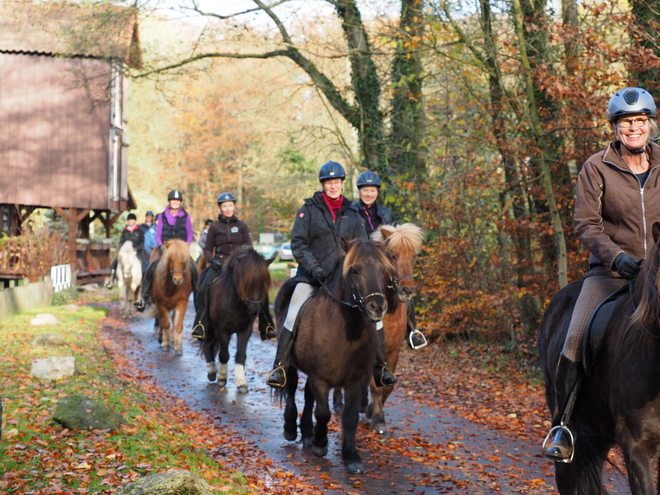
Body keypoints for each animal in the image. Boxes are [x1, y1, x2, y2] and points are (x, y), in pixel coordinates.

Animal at [200, 248, 274, 396]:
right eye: (245, 281)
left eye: (263, 282)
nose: (254, 309)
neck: (236, 303)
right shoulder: (223, 330)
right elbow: (224, 355)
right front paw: (222, 378)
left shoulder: (245, 330)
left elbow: (240, 355)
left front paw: (241, 383)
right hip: (209, 326)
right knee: (208, 344)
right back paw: (212, 371)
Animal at [274, 238, 394, 474]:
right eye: (355, 270)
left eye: (383, 270)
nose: (377, 307)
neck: (347, 331)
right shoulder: (320, 378)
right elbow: (323, 413)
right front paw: (321, 444)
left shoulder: (357, 380)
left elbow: (350, 417)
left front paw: (351, 457)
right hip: (291, 365)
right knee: (291, 388)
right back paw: (291, 428)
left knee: (307, 396)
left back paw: (307, 434)